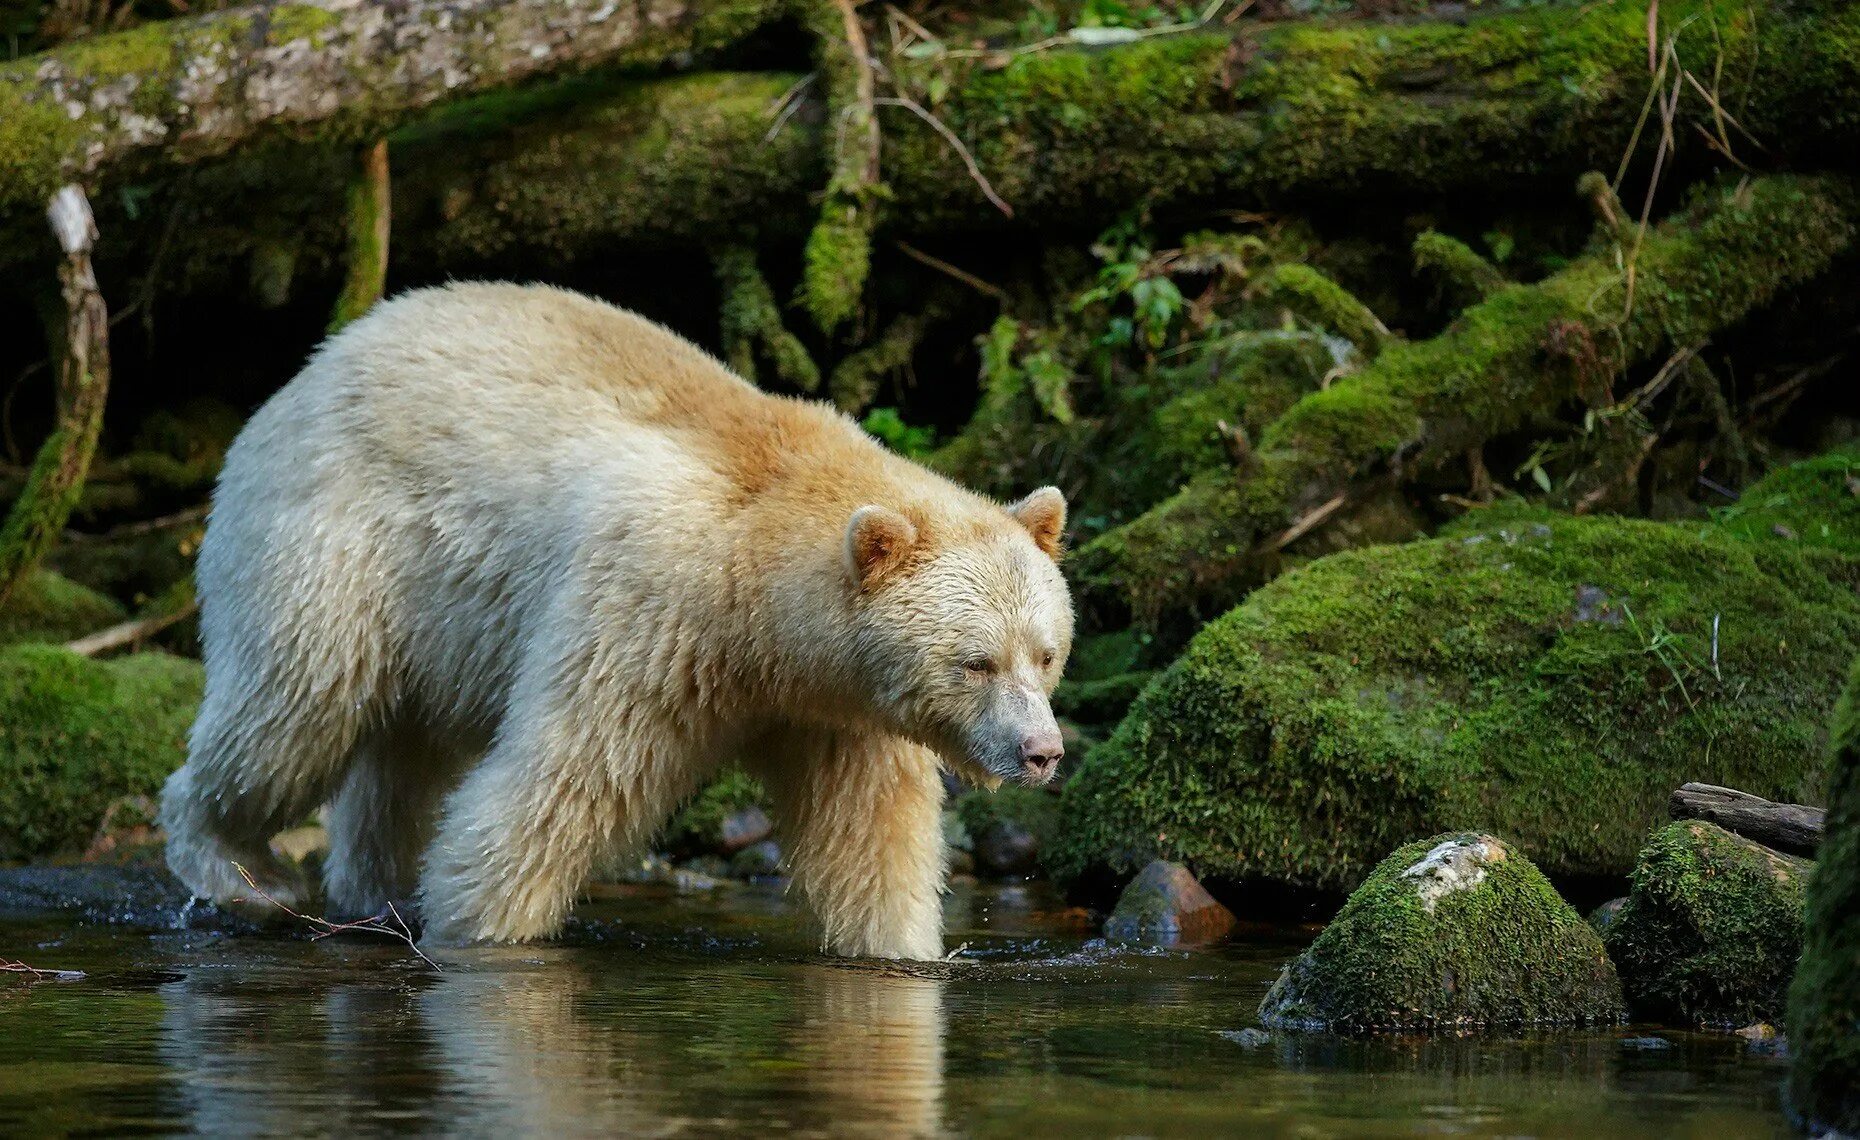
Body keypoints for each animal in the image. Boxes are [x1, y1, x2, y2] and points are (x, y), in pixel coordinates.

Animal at [159, 280, 1078, 952]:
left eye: (1045, 653)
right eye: (976, 660)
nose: (1042, 752)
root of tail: (315, 365)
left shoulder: (838, 709)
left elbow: (869, 839)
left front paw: (904, 949)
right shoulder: (649, 612)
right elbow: (559, 784)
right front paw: (481, 925)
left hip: (439, 621)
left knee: (399, 759)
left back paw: (375, 889)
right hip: (336, 542)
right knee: (291, 716)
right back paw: (239, 868)